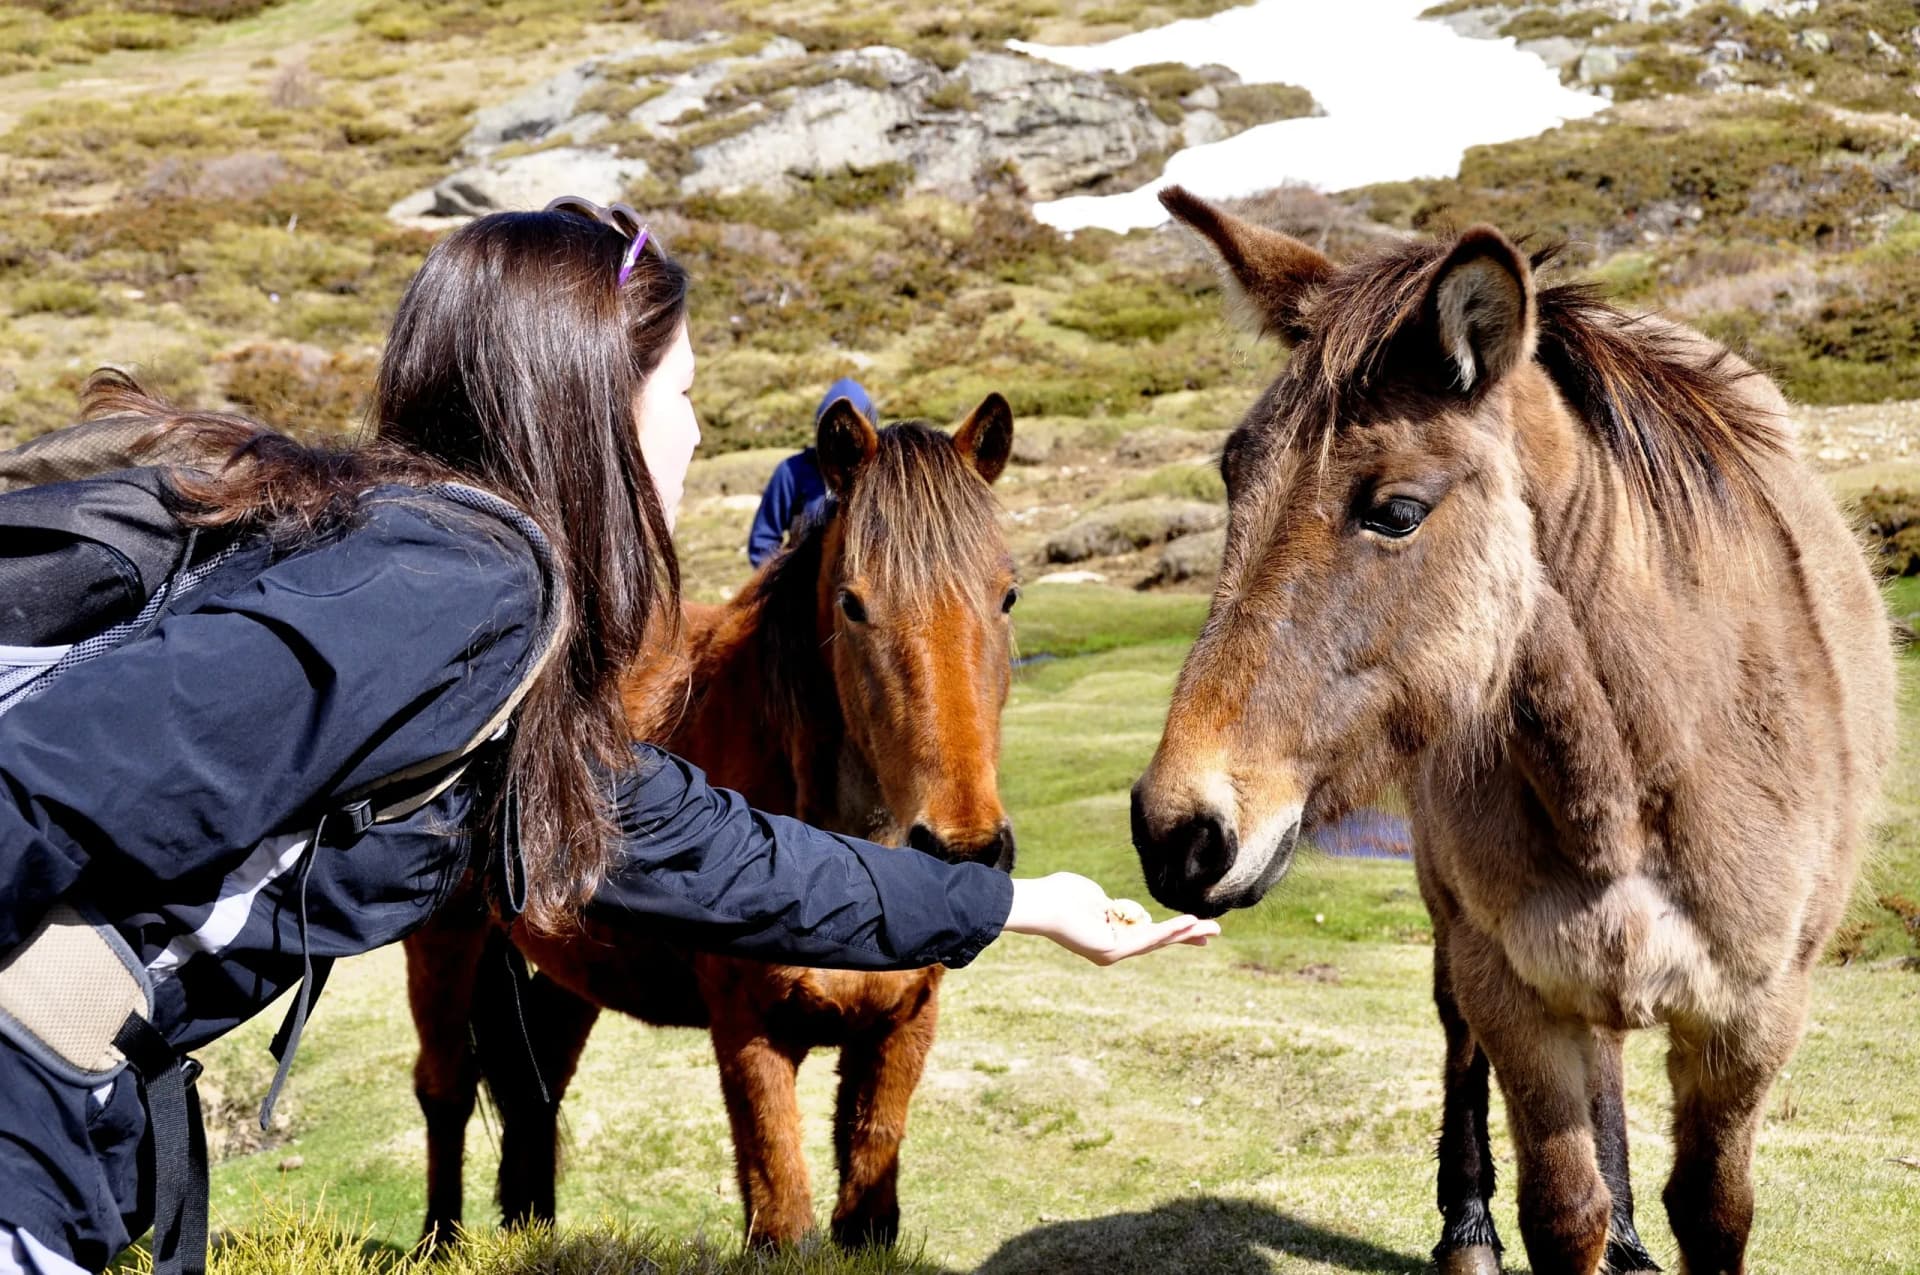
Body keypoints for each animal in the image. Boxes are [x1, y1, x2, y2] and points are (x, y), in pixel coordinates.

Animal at [404, 393, 1020, 1250]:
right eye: (853, 604)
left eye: (1008, 595)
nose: (964, 849)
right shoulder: (750, 1031)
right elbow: (784, 1216)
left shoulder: (902, 1028)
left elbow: (868, 1201)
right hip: (446, 937)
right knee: (447, 1087)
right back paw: (441, 1238)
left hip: (575, 963)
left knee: (537, 1087)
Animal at [1129, 187, 1896, 1275]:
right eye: (1235, 478)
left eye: (1397, 512)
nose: (1178, 832)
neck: (1641, 770)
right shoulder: (1515, 994)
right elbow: (1561, 1210)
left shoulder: (1752, 1020)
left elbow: (1714, 1209)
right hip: (1457, 926)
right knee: (1463, 1044)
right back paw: (1470, 1232)